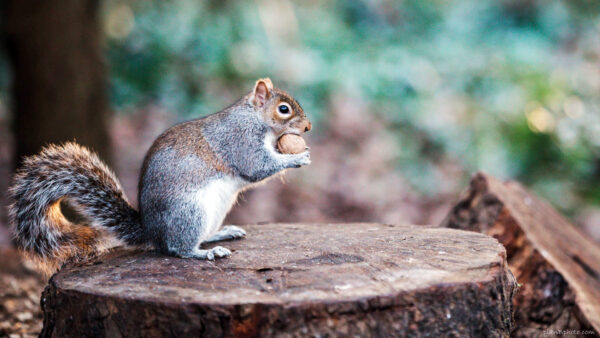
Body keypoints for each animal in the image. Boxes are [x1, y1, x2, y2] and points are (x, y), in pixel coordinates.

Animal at [8, 78, 314, 274]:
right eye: (284, 109)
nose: (308, 127)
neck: (254, 118)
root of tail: (151, 230)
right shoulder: (240, 141)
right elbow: (257, 166)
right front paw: (296, 158)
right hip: (188, 212)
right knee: (177, 248)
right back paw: (206, 252)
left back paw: (222, 234)